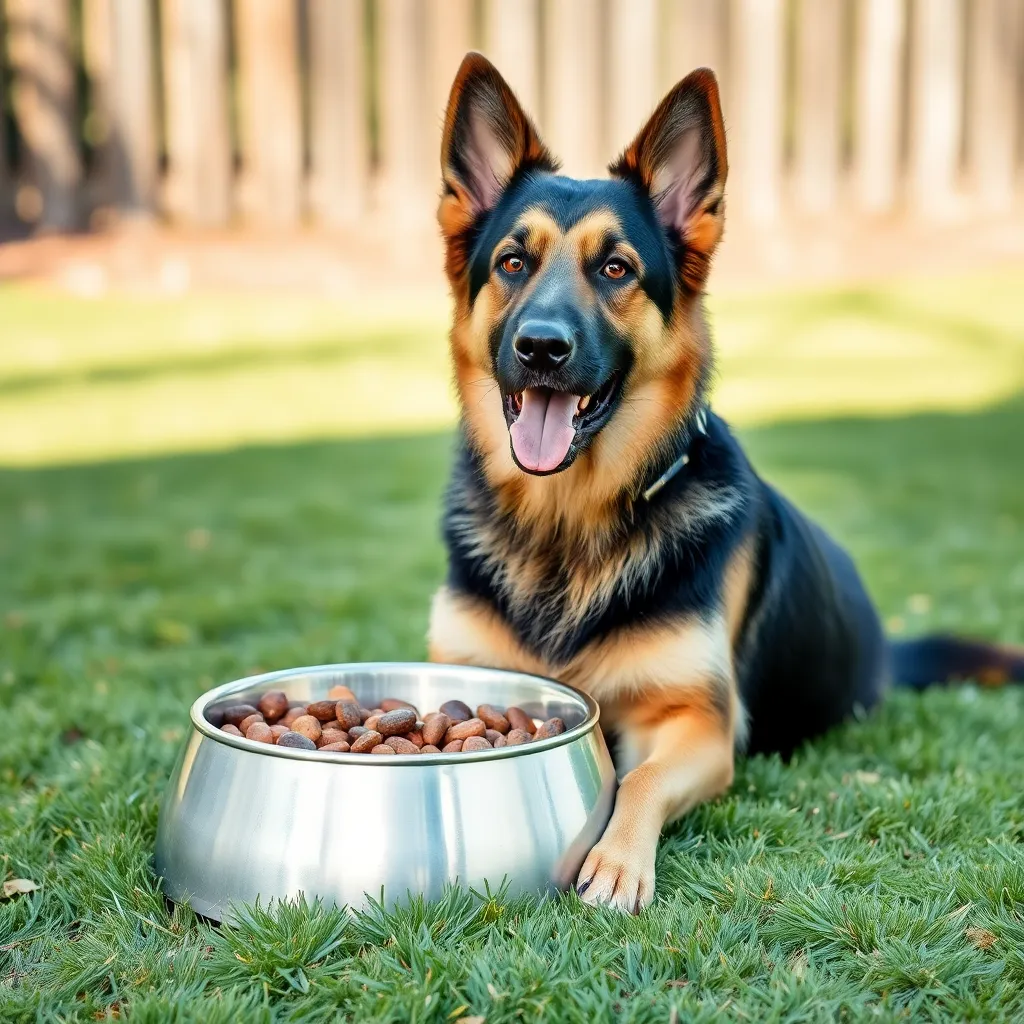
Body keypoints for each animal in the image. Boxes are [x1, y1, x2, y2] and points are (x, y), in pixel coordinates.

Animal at [425, 54, 1024, 913]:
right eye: (513, 262)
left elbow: (636, 778)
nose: (541, 347)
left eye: (616, 268)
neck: (568, 520)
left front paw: (616, 863)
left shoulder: (700, 726)